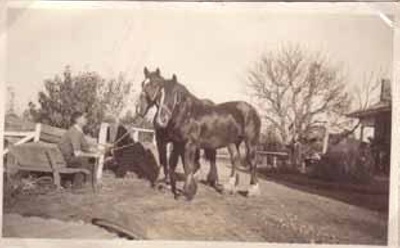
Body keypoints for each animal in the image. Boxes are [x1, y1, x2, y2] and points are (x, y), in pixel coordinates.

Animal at [152, 72, 260, 201]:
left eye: (174, 93)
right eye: (159, 94)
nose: (161, 120)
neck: (188, 114)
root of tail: (253, 109)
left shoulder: (190, 144)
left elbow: (188, 166)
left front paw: (187, 193)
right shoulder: (178, 144)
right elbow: (173, 165)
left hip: (251, 142)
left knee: (253, 162)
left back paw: (252, 191)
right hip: (233, 143)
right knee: (235, 160)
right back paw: (229, 189)